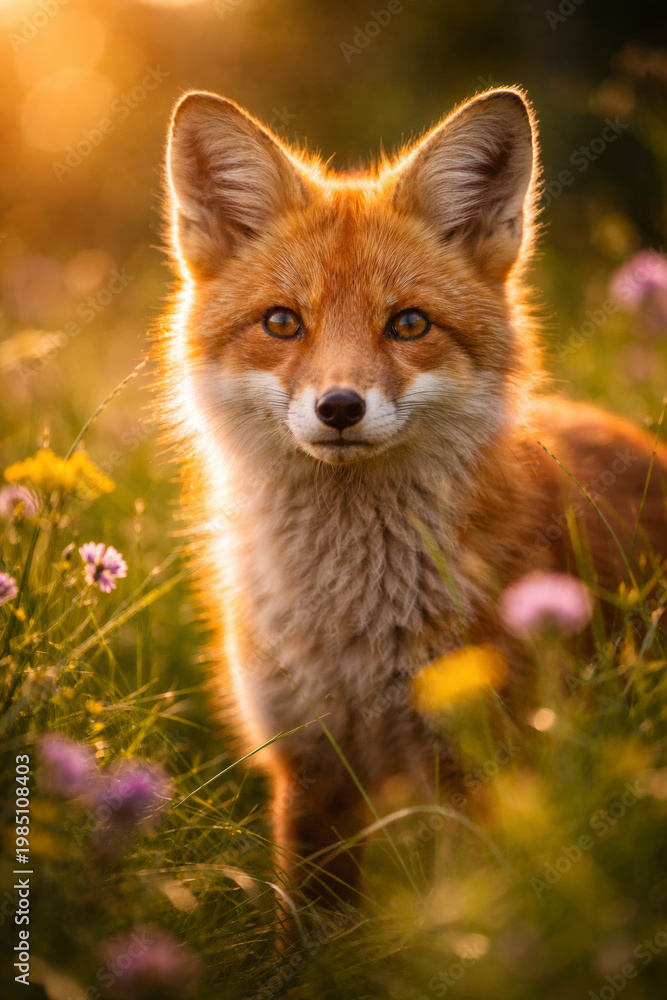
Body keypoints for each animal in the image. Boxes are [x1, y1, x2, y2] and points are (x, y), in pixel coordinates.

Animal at [156, 86, 667, 910]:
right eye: (282, 322)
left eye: (409, 324)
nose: (338, 407)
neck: (353, 629)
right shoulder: (308, 765)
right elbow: (310, 917)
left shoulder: (475, 766)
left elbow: (464, 910)